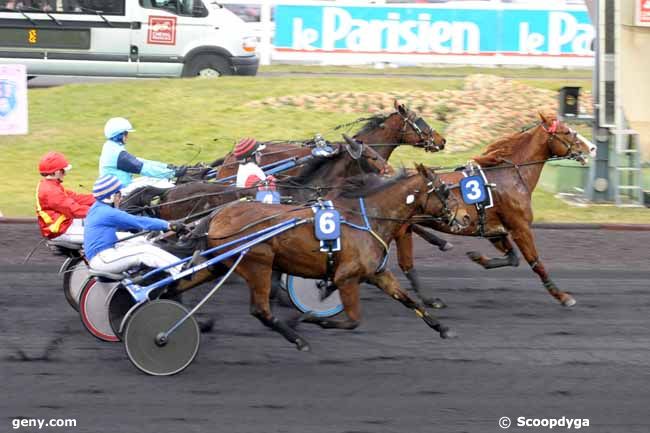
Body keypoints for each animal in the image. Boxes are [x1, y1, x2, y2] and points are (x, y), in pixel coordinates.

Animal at [175, 164, 454, 350]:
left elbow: (408, 300)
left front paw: (442, 327)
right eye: (444, 191)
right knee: (260, 310)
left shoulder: (378, 274)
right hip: (257, 264)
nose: (457, 217)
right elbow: (353, 321)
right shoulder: (346, 278)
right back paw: (298, 339)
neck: (367, 219)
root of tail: (218, 214)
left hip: (220, 264)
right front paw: (308, 317)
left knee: (180, 284)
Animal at [394, 113, 592, 306]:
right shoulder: (520, 228)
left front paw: (478, 257)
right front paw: (562, 296)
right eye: (566, 132)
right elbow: (535, 262)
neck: (508, 175)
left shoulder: (494, 229)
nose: (592, 147)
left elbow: (512, 258)